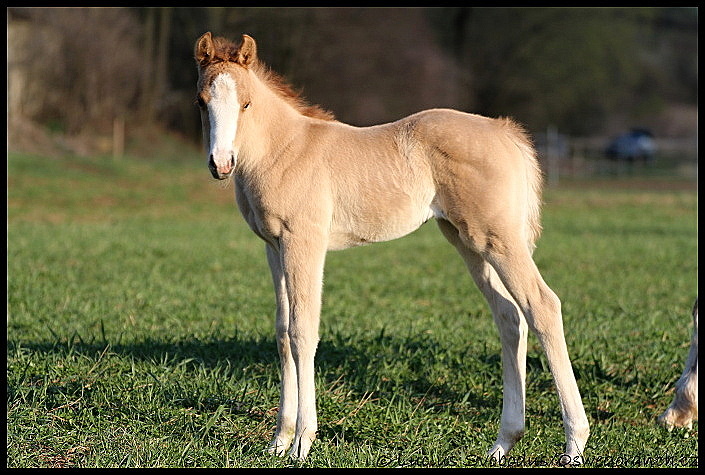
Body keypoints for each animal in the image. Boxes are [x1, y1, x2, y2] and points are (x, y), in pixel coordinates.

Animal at [194, 33, 588, 464]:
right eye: (201, 101)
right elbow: (282, 334)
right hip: (467, 240)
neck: (283, 150)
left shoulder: (304, 243)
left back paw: (574, 444)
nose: (221, 164)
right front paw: (279, 441)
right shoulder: (274, 247)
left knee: (542, 306)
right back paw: (502, 443)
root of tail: (503, 131)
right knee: (510, 317)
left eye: (246, 103)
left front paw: (302, 442)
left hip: (498, 239)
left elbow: (303, 332)